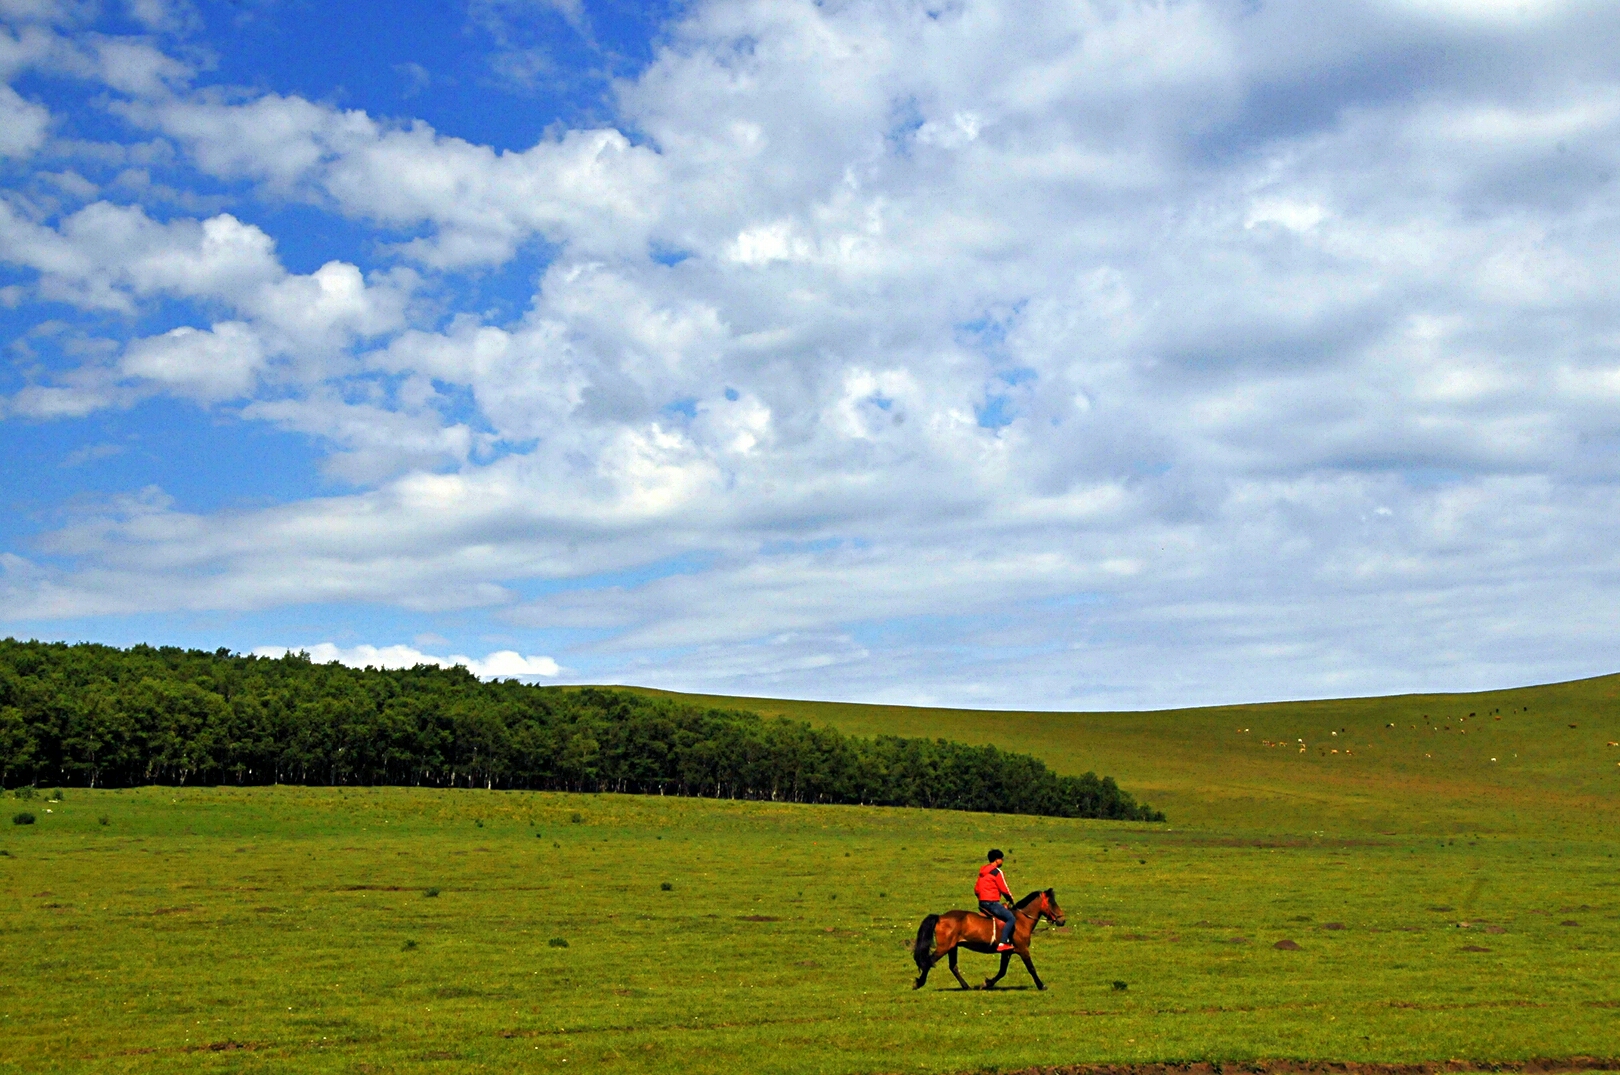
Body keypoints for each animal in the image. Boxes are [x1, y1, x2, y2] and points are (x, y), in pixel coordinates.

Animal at [913, 887, 1062, 990]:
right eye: (1052, 903)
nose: (1063, 920)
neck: (1021, 920)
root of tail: (940, 917)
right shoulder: (1023, 949)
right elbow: (1031, 968)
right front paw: (1041, 985)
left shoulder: (1007, 952)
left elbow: (1002, 971)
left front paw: (986, 983)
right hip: (944, 947)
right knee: (929, 961)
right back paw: (919, 983)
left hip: (952, 947)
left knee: (953, 966)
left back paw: (966, 986)